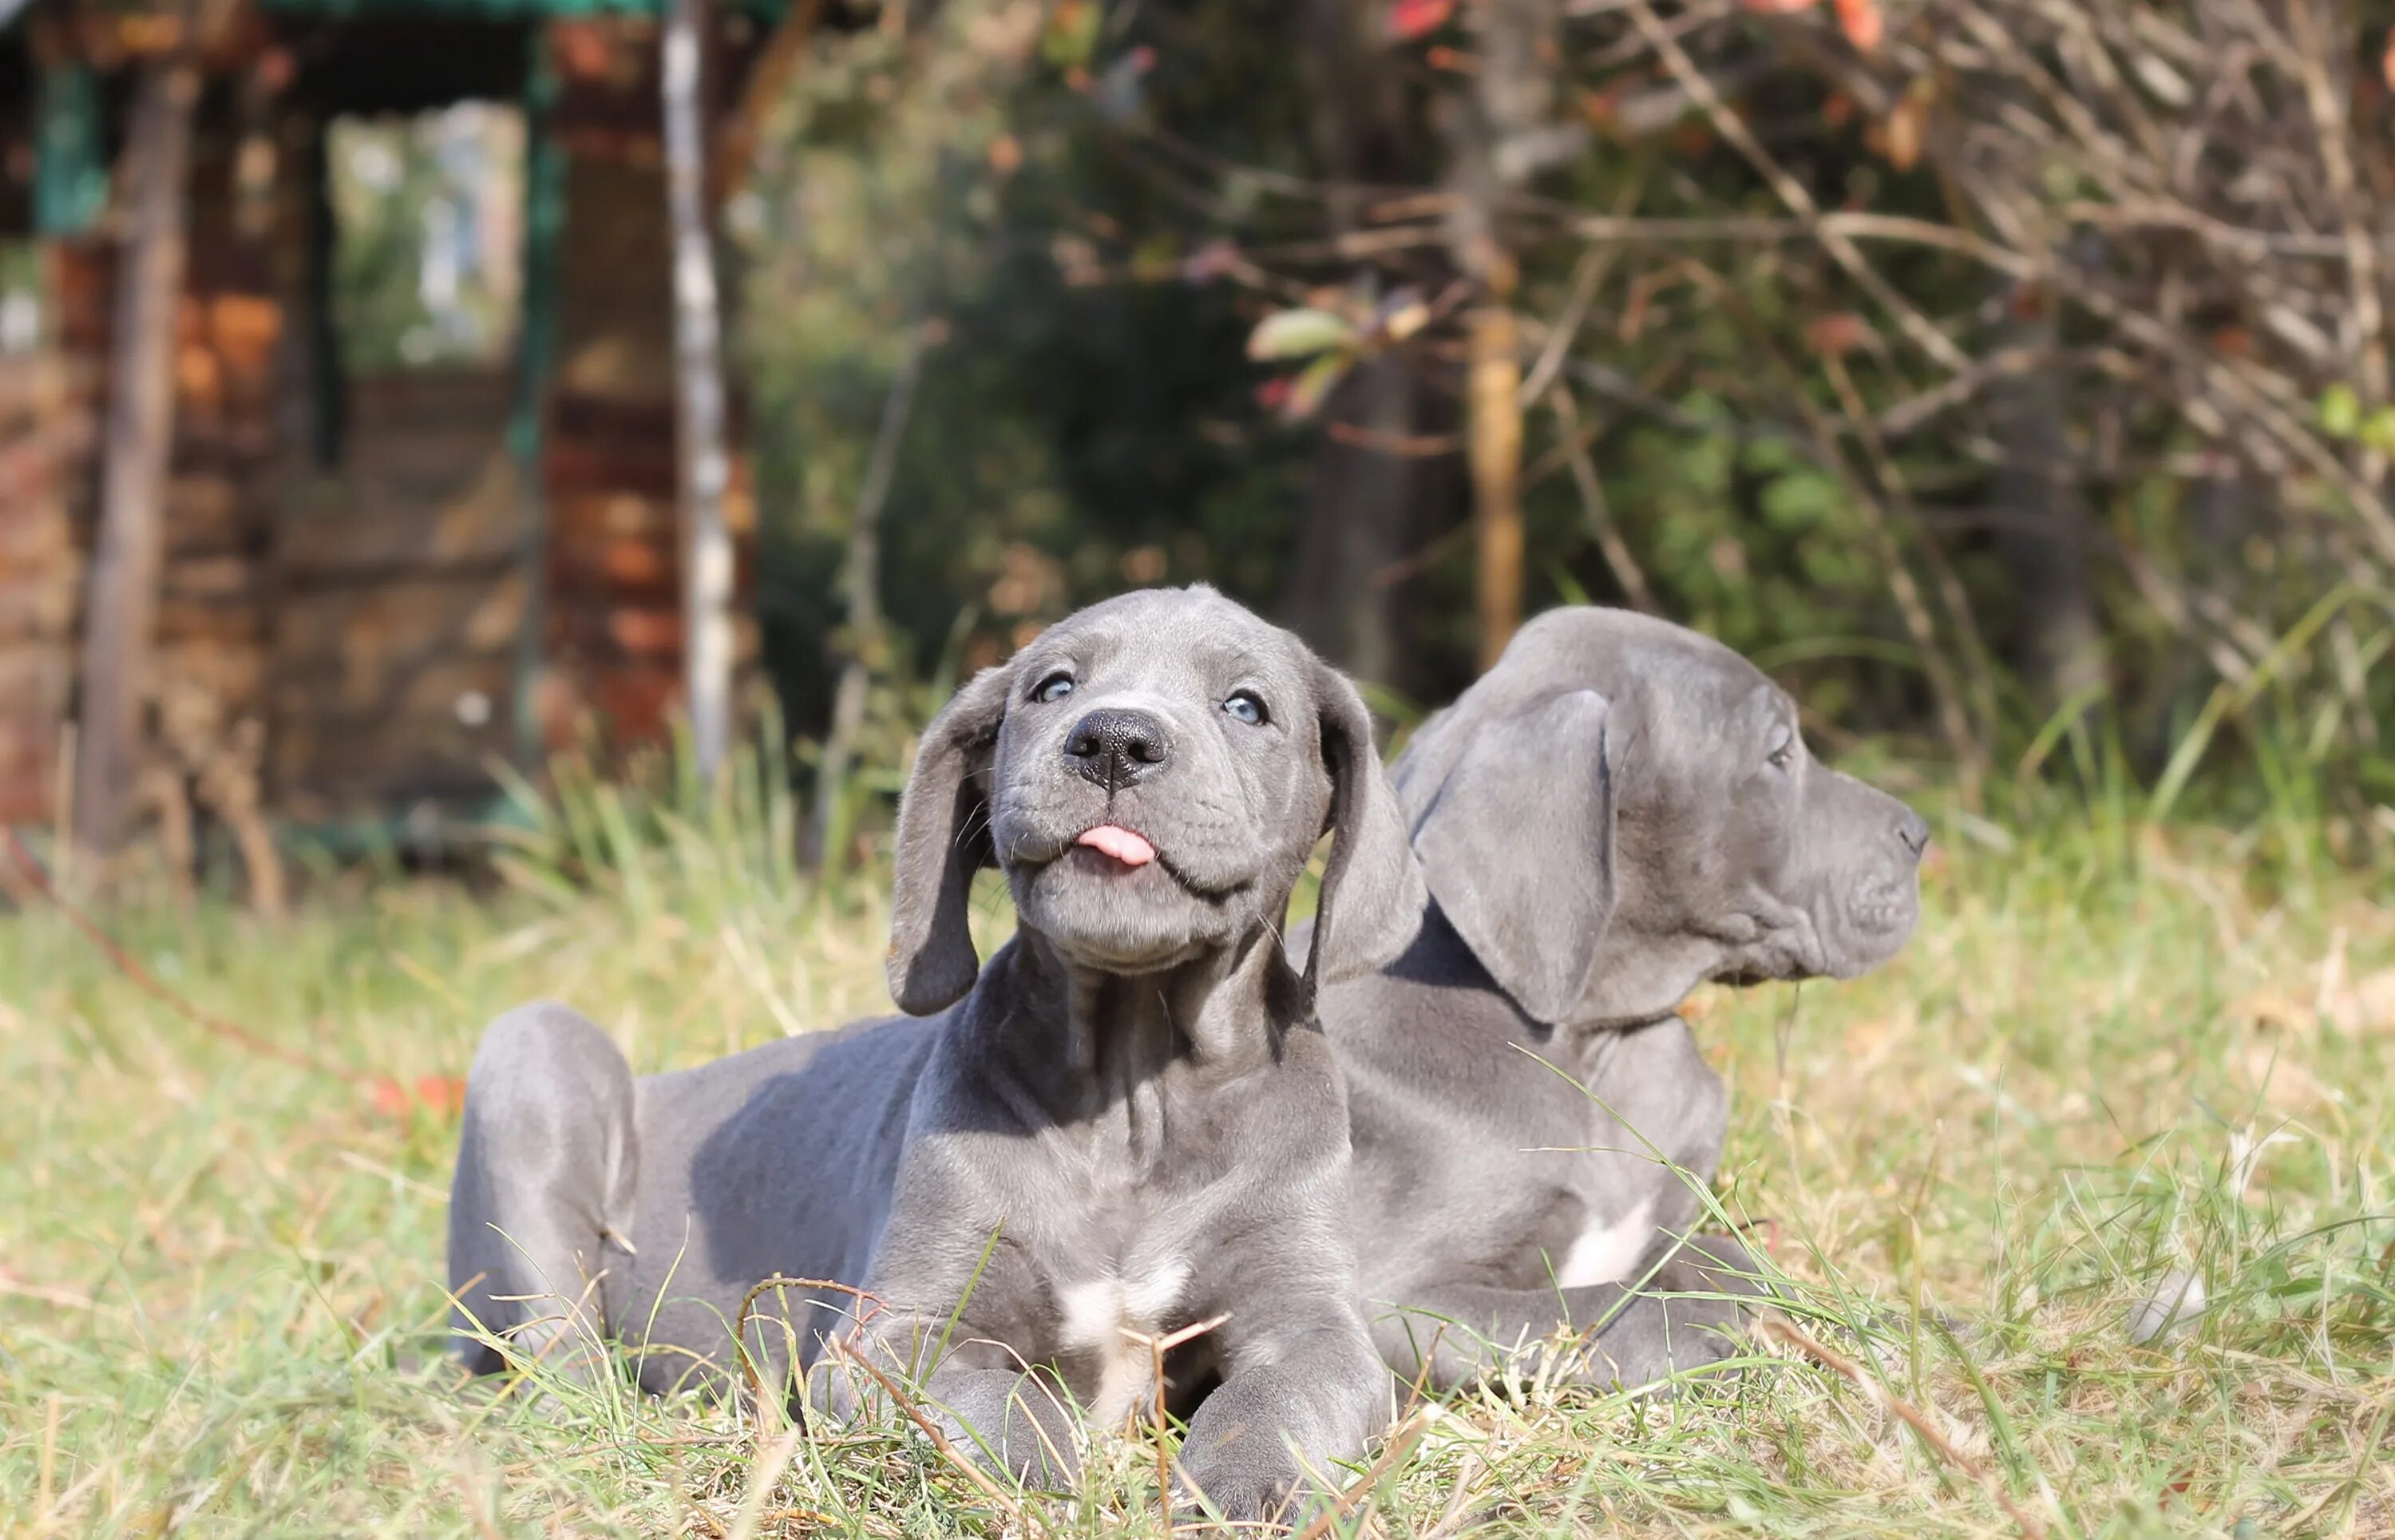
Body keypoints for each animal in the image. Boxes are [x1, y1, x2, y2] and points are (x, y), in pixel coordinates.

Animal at [445, 587, 1418, 1514]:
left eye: (1246, 706)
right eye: (1053, 688)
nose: (1114, 739)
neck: (1133, 1092)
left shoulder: (1313, 1325)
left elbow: (1280, 1399)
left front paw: (1248, 1488)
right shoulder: (894, 1331)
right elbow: (1005, 1399)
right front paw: (1056, 1477)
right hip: (537, 1051)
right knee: (559, 1349)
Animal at [1293, 611, 1926, 1399]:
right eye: (1780, 751)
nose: (1921, 833)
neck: (1591, 1046)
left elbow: (1743, 1263)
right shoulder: (1394, 1298)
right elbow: (1610, 1306)